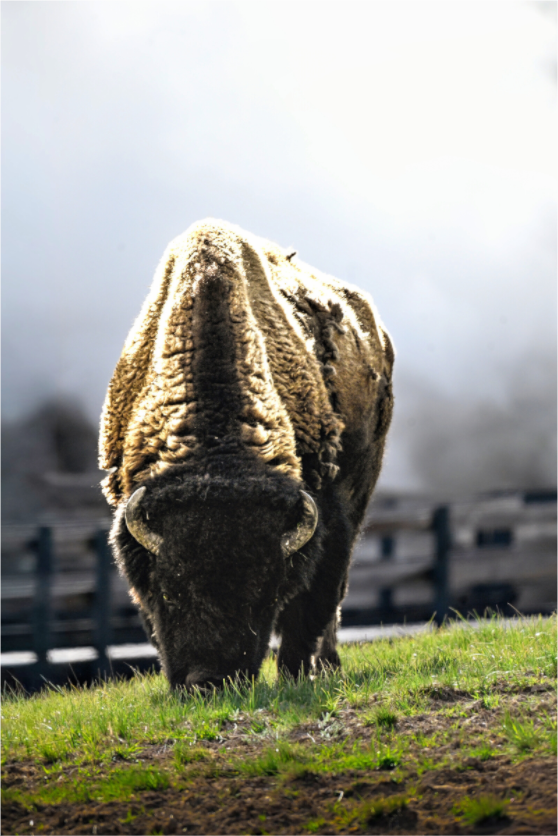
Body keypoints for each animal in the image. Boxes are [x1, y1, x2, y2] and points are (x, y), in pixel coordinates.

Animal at [99, 219, 394, 690]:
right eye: (168, 590)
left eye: (265, 592)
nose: (209, 681)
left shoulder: (326, 518)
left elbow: (309, 608)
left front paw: (295, 676)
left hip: (362, 485)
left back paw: (327, 665)